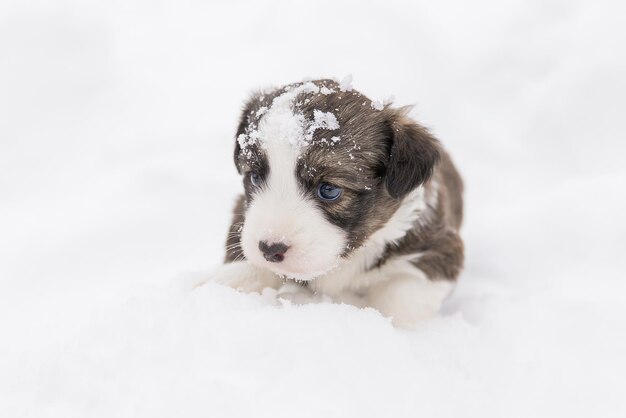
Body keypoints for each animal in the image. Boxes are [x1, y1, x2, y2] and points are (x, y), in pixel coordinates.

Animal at [212, 78, 460, 326]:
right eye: (254, 177)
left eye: (329, 190)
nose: (270, 249)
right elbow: (246, 264)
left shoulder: (438, 249)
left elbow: (401, 301)